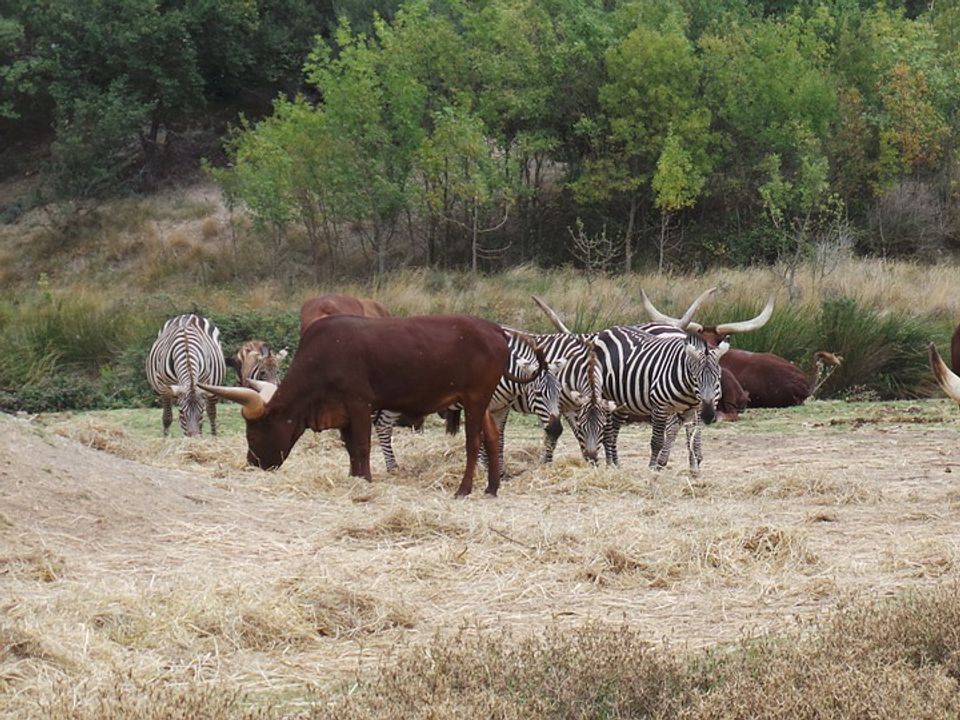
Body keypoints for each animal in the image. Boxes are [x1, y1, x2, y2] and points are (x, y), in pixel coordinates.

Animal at [201, 312, 516, 498]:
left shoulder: (359, 404)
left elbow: (362, 444)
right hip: (482, 403)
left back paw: (464, 489)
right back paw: (492, 487)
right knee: (491, 437)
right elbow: (350, 446)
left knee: (473, 442)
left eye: (253, 434)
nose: (253, 463)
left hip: (474, 399)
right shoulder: (341, 411)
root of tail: (494, 329)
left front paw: (365, 478)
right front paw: (354, 476)